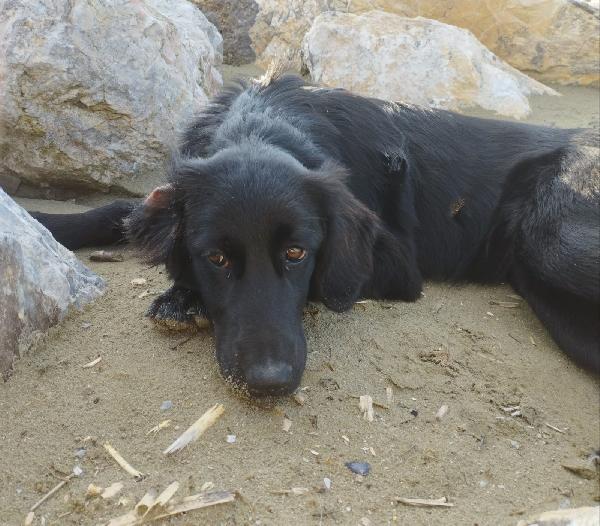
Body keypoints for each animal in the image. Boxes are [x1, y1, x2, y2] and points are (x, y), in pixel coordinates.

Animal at [31, 74, 600, 396]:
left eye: (296, 252)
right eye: (216, 258)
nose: (269, 384)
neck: (264, 125)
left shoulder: (397, 262)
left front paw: (180, 298)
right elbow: (121, 208)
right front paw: (46, 222)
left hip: (552, 241)